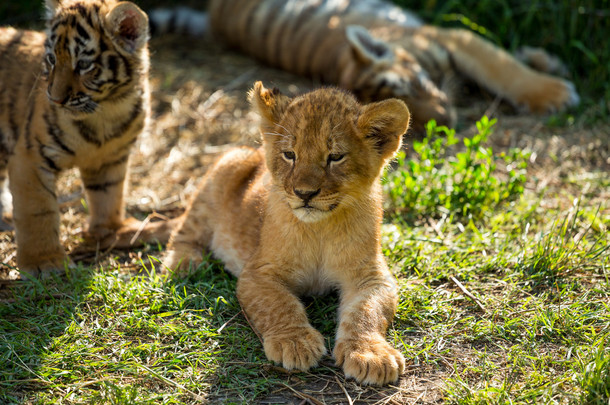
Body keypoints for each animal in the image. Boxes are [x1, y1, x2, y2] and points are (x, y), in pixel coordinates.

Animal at [0, 0, 166, 278]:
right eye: (52, 59)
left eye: (84, 65)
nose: (55, 99)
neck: (106, 111)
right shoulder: (31, 157)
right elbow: (38, 210)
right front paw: (45, 262)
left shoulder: (110, 159)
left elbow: (109, 195)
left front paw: (113, 230)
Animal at [150, 0, 576, 130]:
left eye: (413, 86)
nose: (444, 122)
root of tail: (213, 18)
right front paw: (556, 94)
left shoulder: (453, 37)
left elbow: (502, 66)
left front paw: (552, 85)